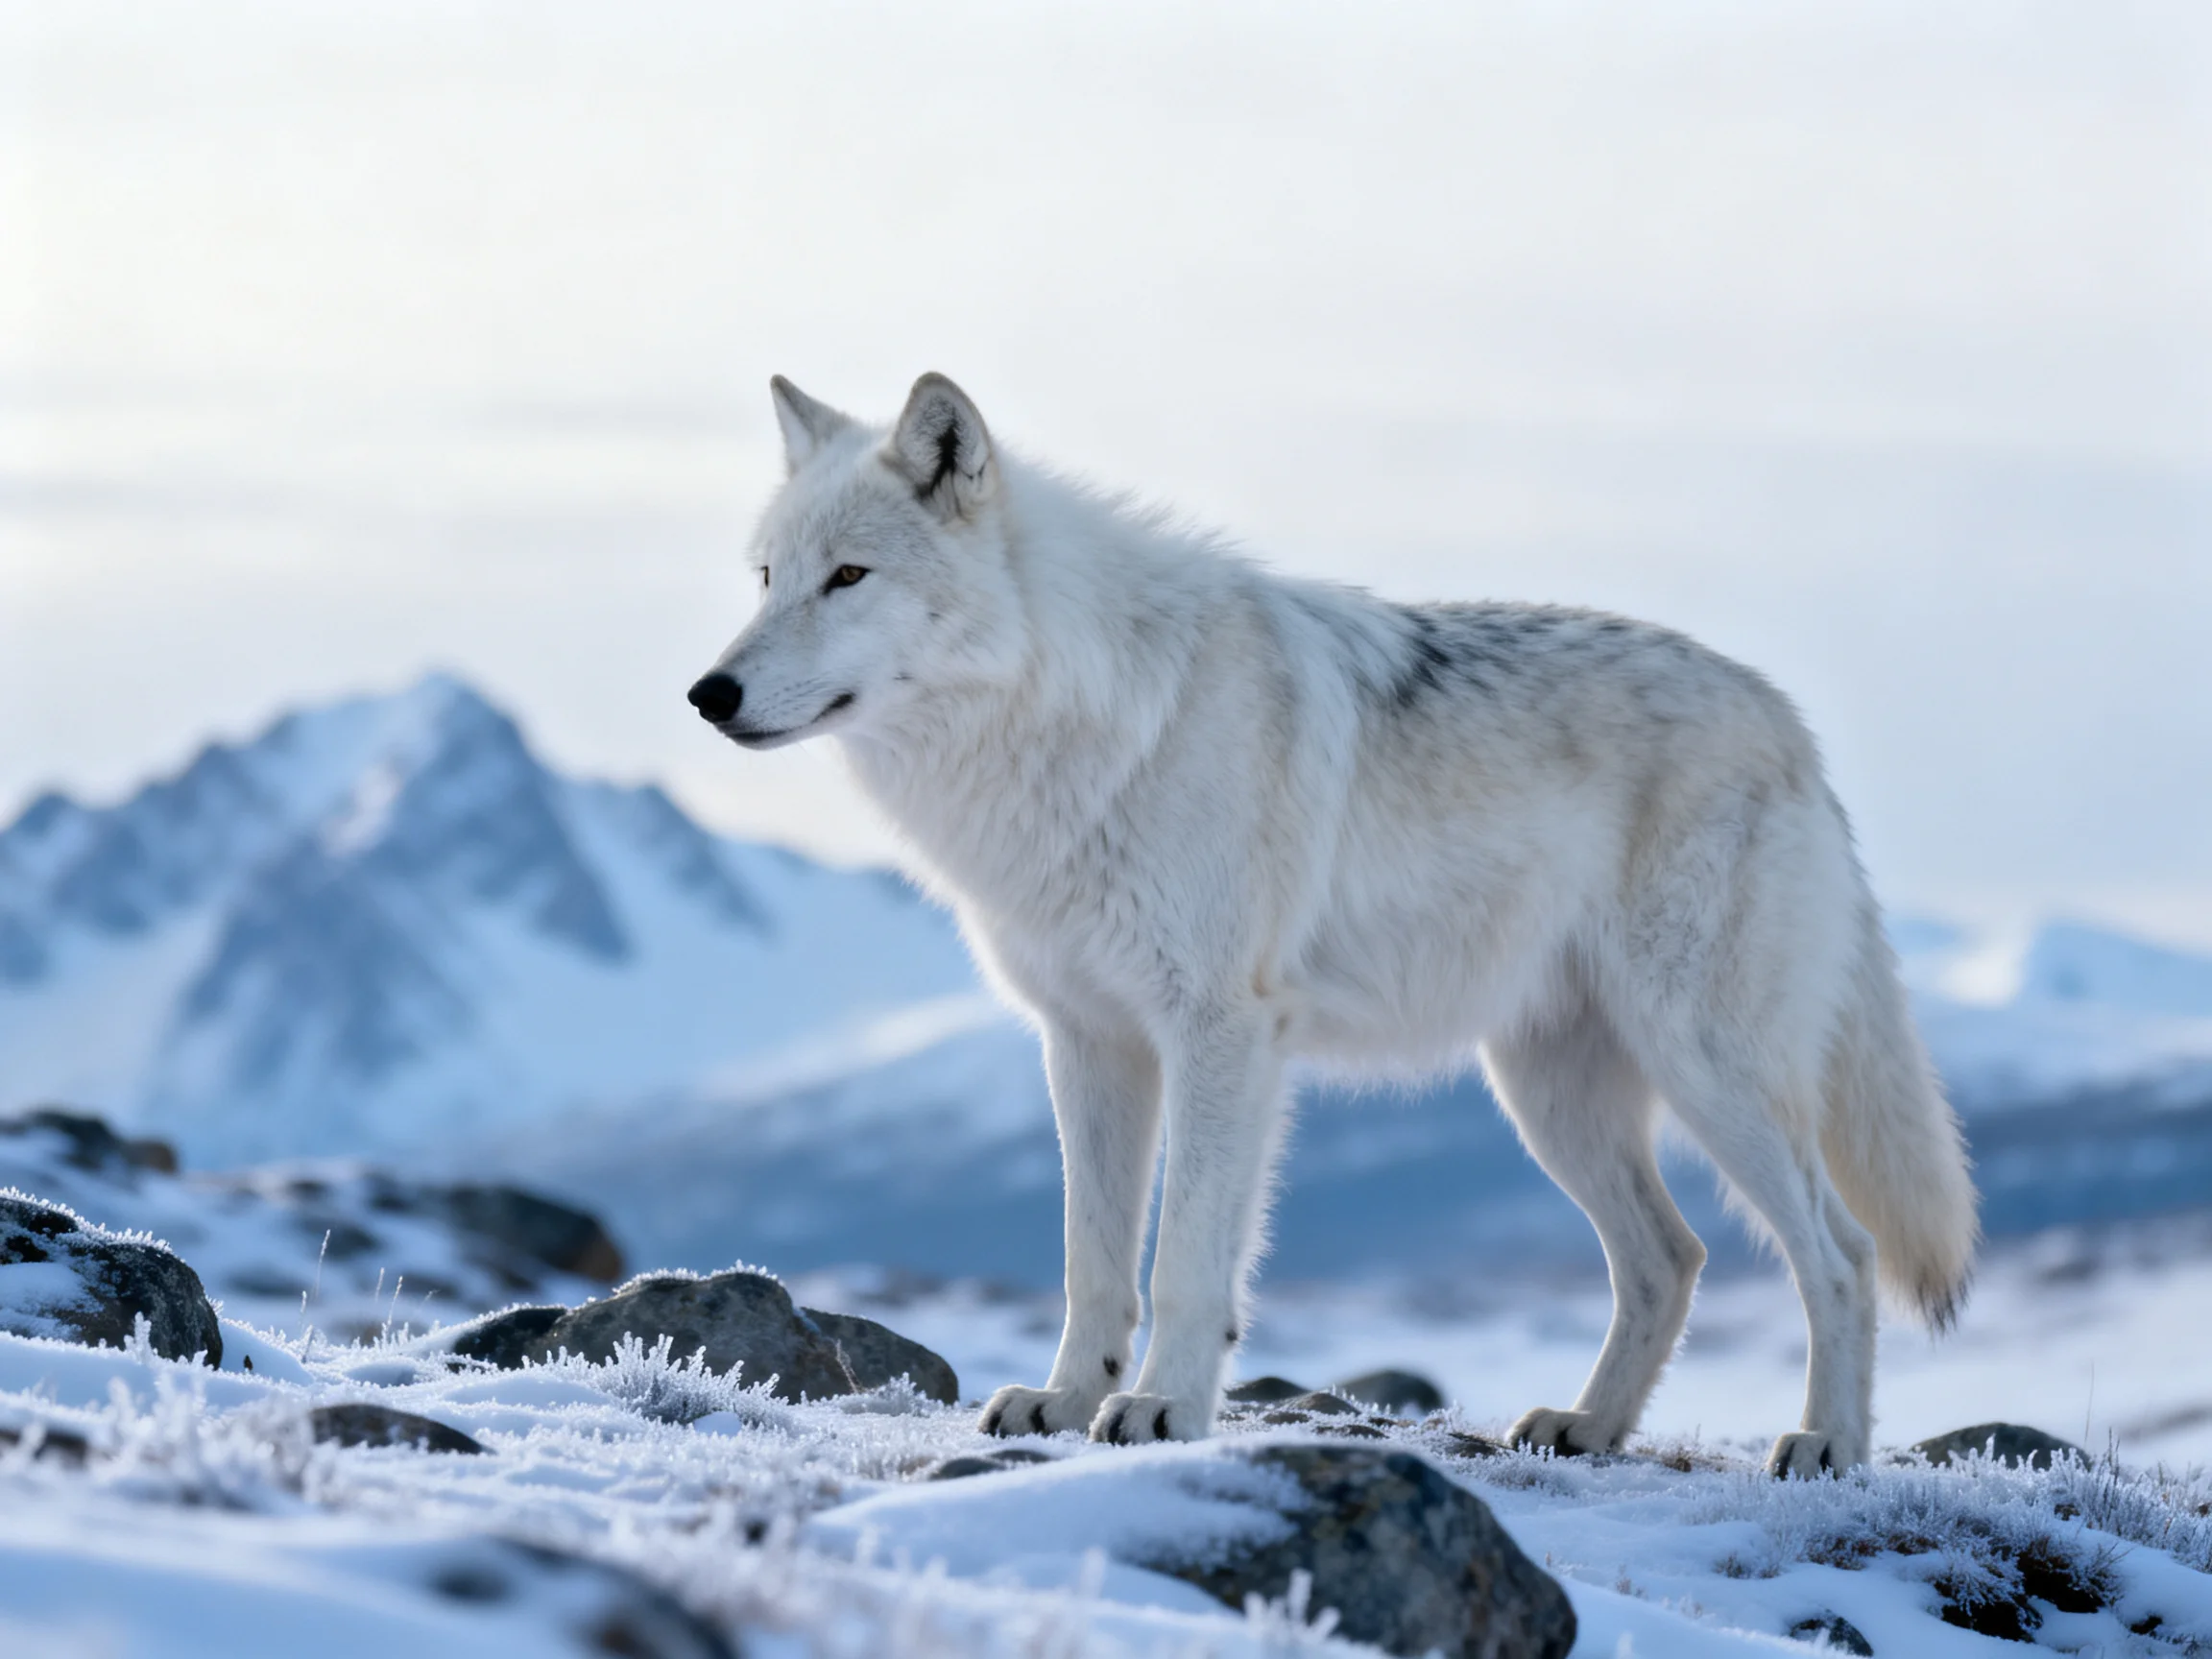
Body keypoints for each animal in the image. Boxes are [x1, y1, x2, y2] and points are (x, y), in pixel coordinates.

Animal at [687, 372, 1978, 1474]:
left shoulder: (1220, 1033)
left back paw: (1827, 1447)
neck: (1075, 720)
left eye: (849, 577)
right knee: (1672, 1258)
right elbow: (1092, 1261)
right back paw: (1587, 1429)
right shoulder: (1089, 1042)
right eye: (766, 577)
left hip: (1707, 1073)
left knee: (1842, 1255)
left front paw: (1160, 1409)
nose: (709, 693)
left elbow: (1187, 1258)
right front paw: (1061, 1400)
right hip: (1549, 1096)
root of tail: (1791, 728)